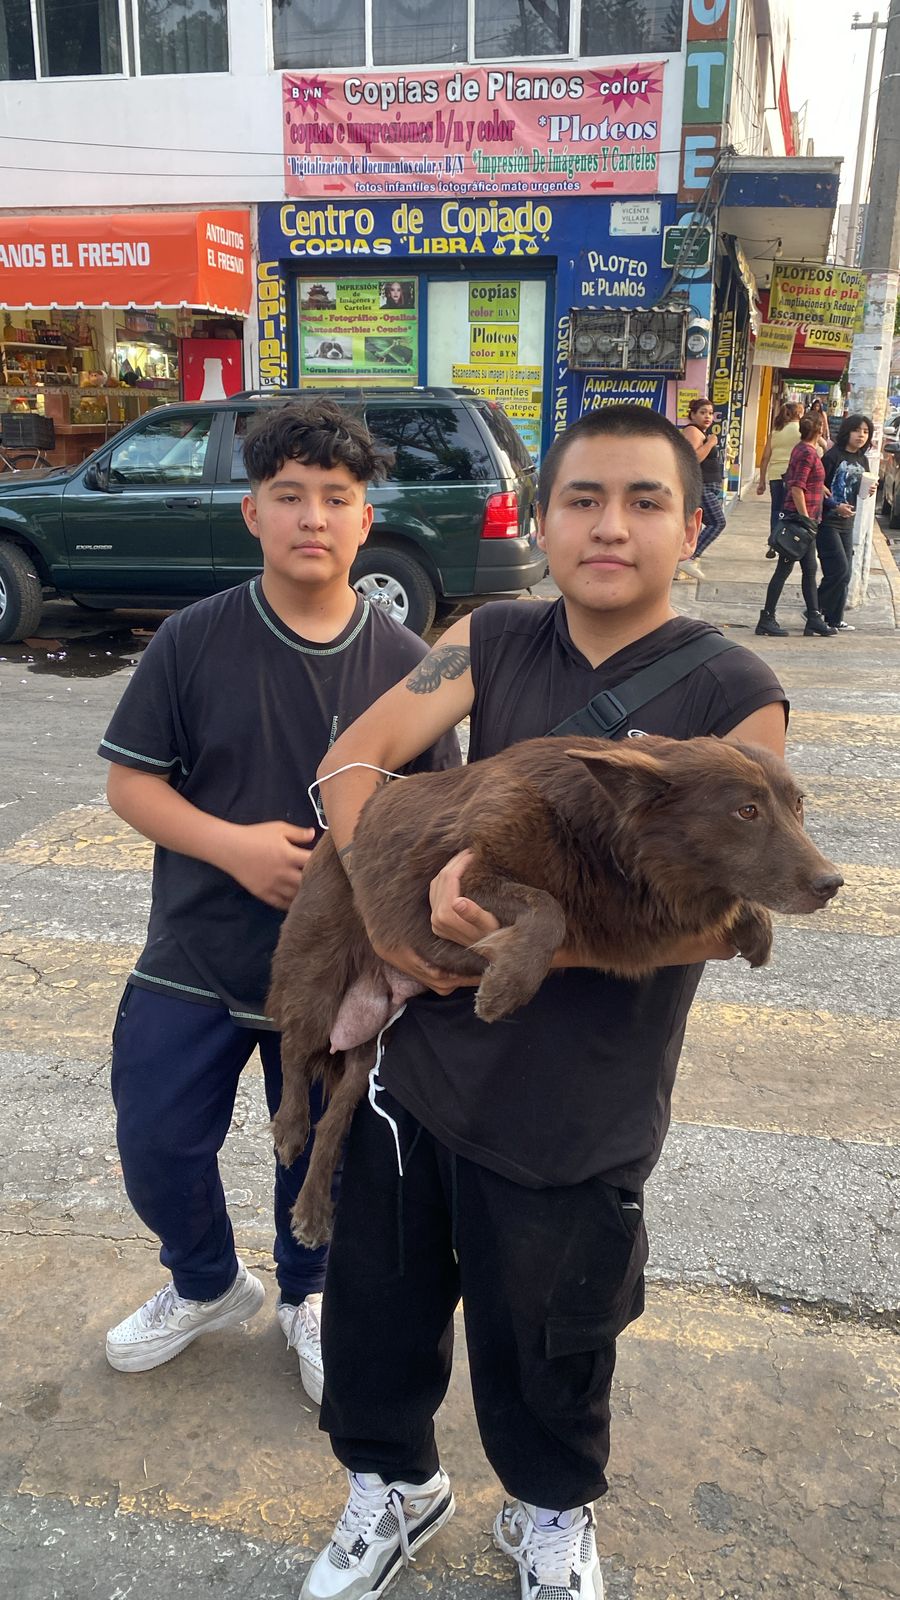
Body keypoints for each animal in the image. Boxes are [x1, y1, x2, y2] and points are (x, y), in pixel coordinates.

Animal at [268, 734, 843, 1245]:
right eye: (746, 811)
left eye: (798, 806)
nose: (832, 884)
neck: (597, 836)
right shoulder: (461, 876)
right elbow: (549, 910)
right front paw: (506, 986)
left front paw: (755, 925)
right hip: (318, 984)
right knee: (291, 1049)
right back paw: (291, 1127)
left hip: (369, 1041)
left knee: (335, 1119)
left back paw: (313, 1211)